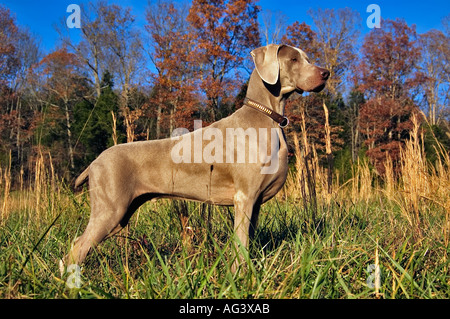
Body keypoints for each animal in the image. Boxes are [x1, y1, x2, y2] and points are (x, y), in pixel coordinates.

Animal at [59, 44, 328, 276]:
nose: (326, 73)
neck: (267, 117)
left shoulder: (257, 201)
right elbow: (240, 244)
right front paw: (239, 276)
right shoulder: (244, 197)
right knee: (76, 249)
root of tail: (94, 162)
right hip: (111, 209)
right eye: (293, 59)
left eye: (306, 57)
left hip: (119, 214)